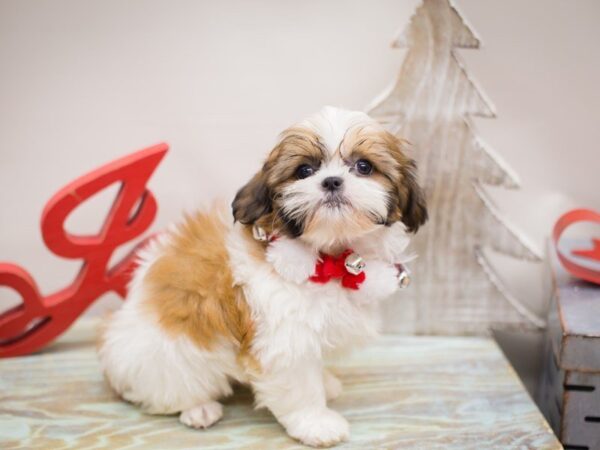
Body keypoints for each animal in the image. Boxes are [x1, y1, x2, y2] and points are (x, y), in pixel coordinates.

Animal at [98, 107, 426, 448]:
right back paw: (198, 408)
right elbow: (300, 385)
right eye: (304, 170)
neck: (332, 259)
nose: (332, 181)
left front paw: (325, 382)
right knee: (170, 388)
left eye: (364, 166)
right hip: (163, 356)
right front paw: (317, 422)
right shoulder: (284, 338)